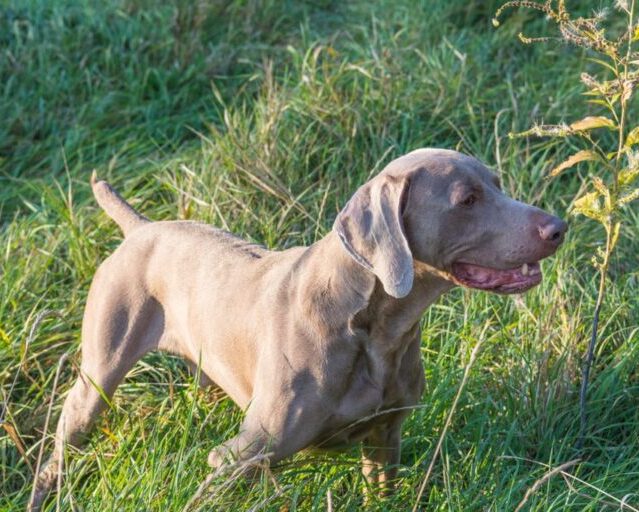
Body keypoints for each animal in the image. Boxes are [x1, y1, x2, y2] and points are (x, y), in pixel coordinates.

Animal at [27, 147, 568, 508]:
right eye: (467, 200)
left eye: (497, 183)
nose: (559, 228)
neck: (373, 327)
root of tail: (142, 228)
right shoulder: (238, 458)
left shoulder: (385, 436)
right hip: (97, 377)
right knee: (66, 438)